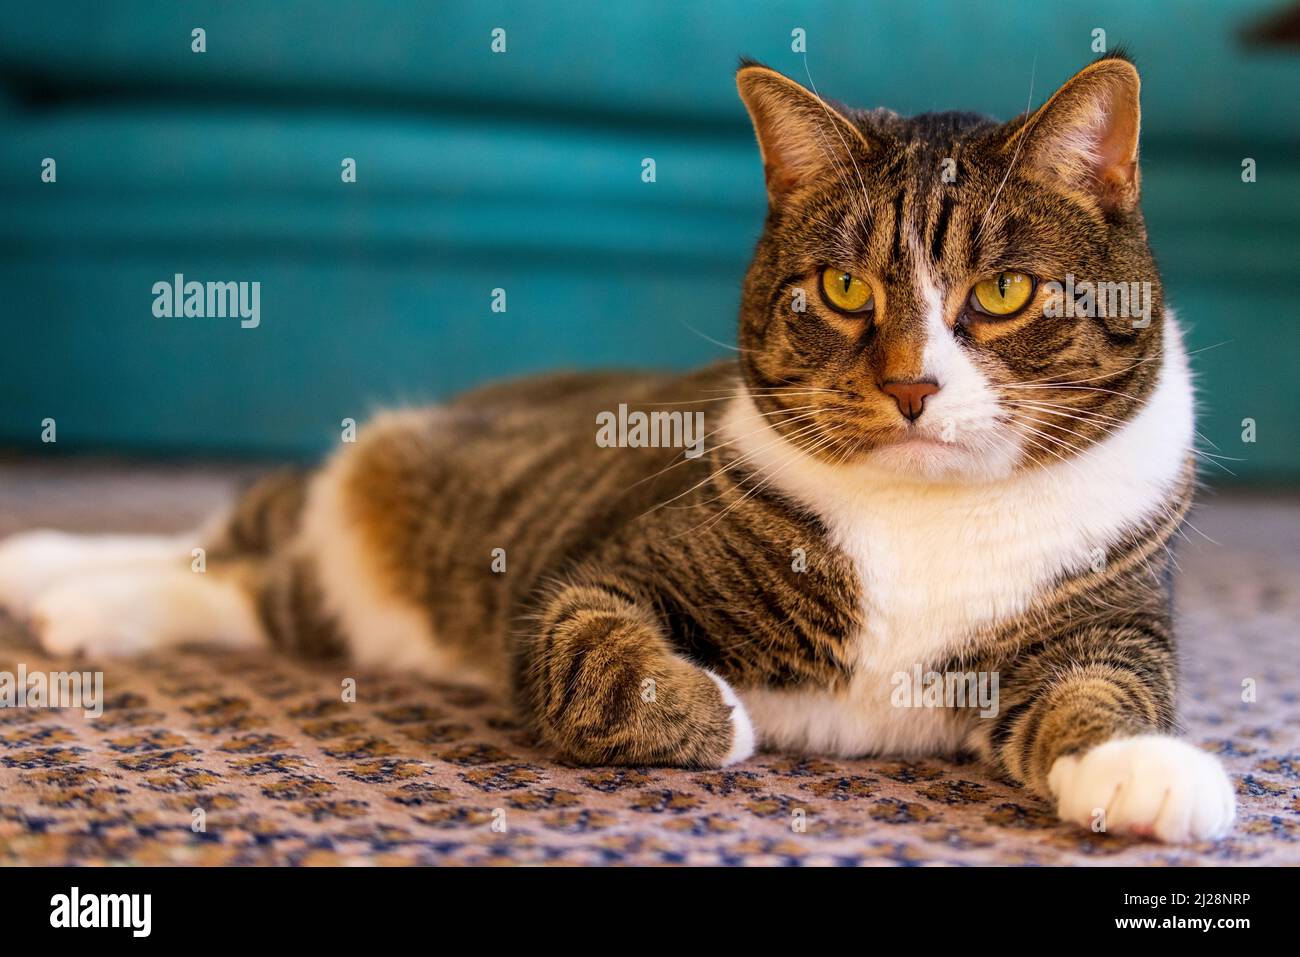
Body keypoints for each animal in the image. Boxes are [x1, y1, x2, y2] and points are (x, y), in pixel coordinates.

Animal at [2, 55, 1237, 842]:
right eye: (843, 289)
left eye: (1006, 292)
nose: (910, 385)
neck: (927, 519)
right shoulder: (593, 570)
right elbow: (589, 640)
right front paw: (716, 710)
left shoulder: (1107, 617)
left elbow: (1103, 691)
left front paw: (1151, 775)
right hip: (368, 494)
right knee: (226, 531)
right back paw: (44, 566)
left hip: (341, 594)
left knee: (259, 592)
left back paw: (78, 609)